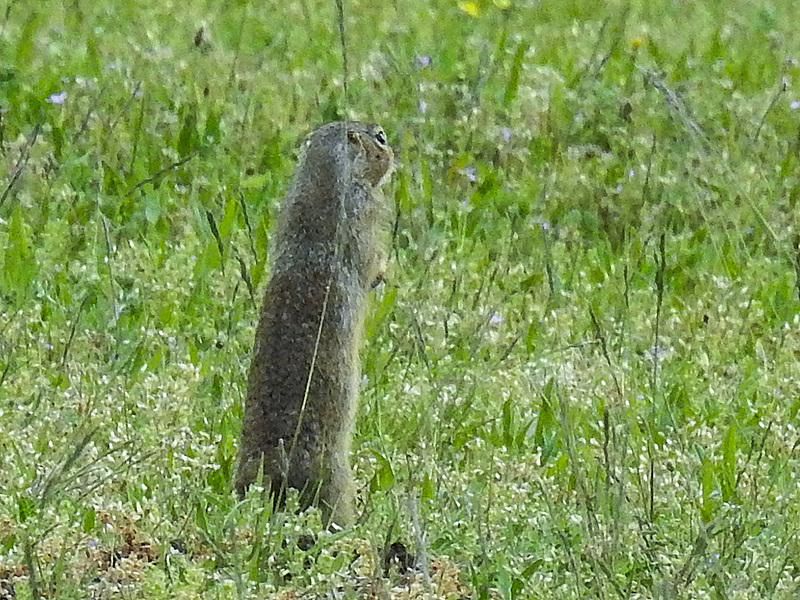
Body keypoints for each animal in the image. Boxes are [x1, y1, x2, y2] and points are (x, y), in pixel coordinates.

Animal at [234, 120, 394, 524]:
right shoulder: (365, 212)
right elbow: (370, 260)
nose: (392, 150)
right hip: (335, 478)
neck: (325, 177)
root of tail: (272, 470)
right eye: (380, 137)